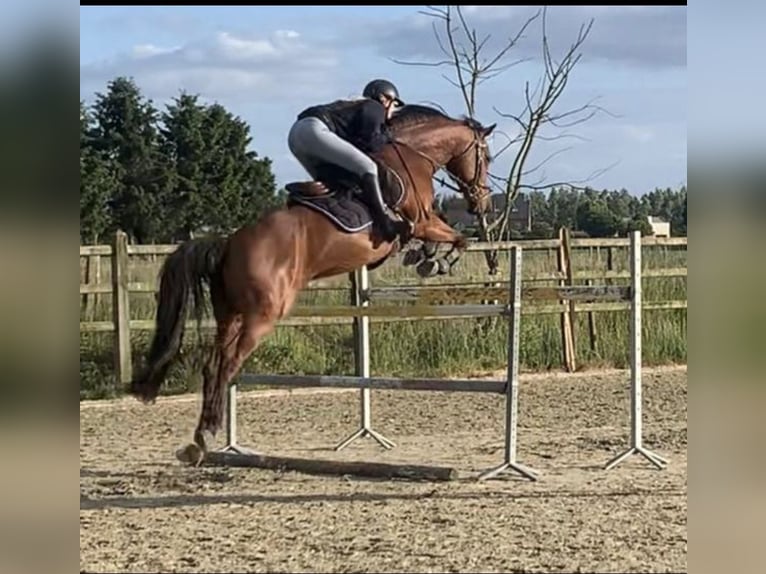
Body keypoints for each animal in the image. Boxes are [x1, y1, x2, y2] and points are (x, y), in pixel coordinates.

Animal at [129, 105, 496, 464]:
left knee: (211, 366)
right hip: (263, 316)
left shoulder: (422, 224)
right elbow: (458, 237)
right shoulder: (420, 221)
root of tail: (227, 244)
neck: (413, 153)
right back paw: (207, 435)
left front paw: (426, 257)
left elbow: (446, 236)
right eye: (487, 157)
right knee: (228, 365)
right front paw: (437, 261)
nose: (482, 202)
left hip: (229, 314)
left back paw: (200, 440)